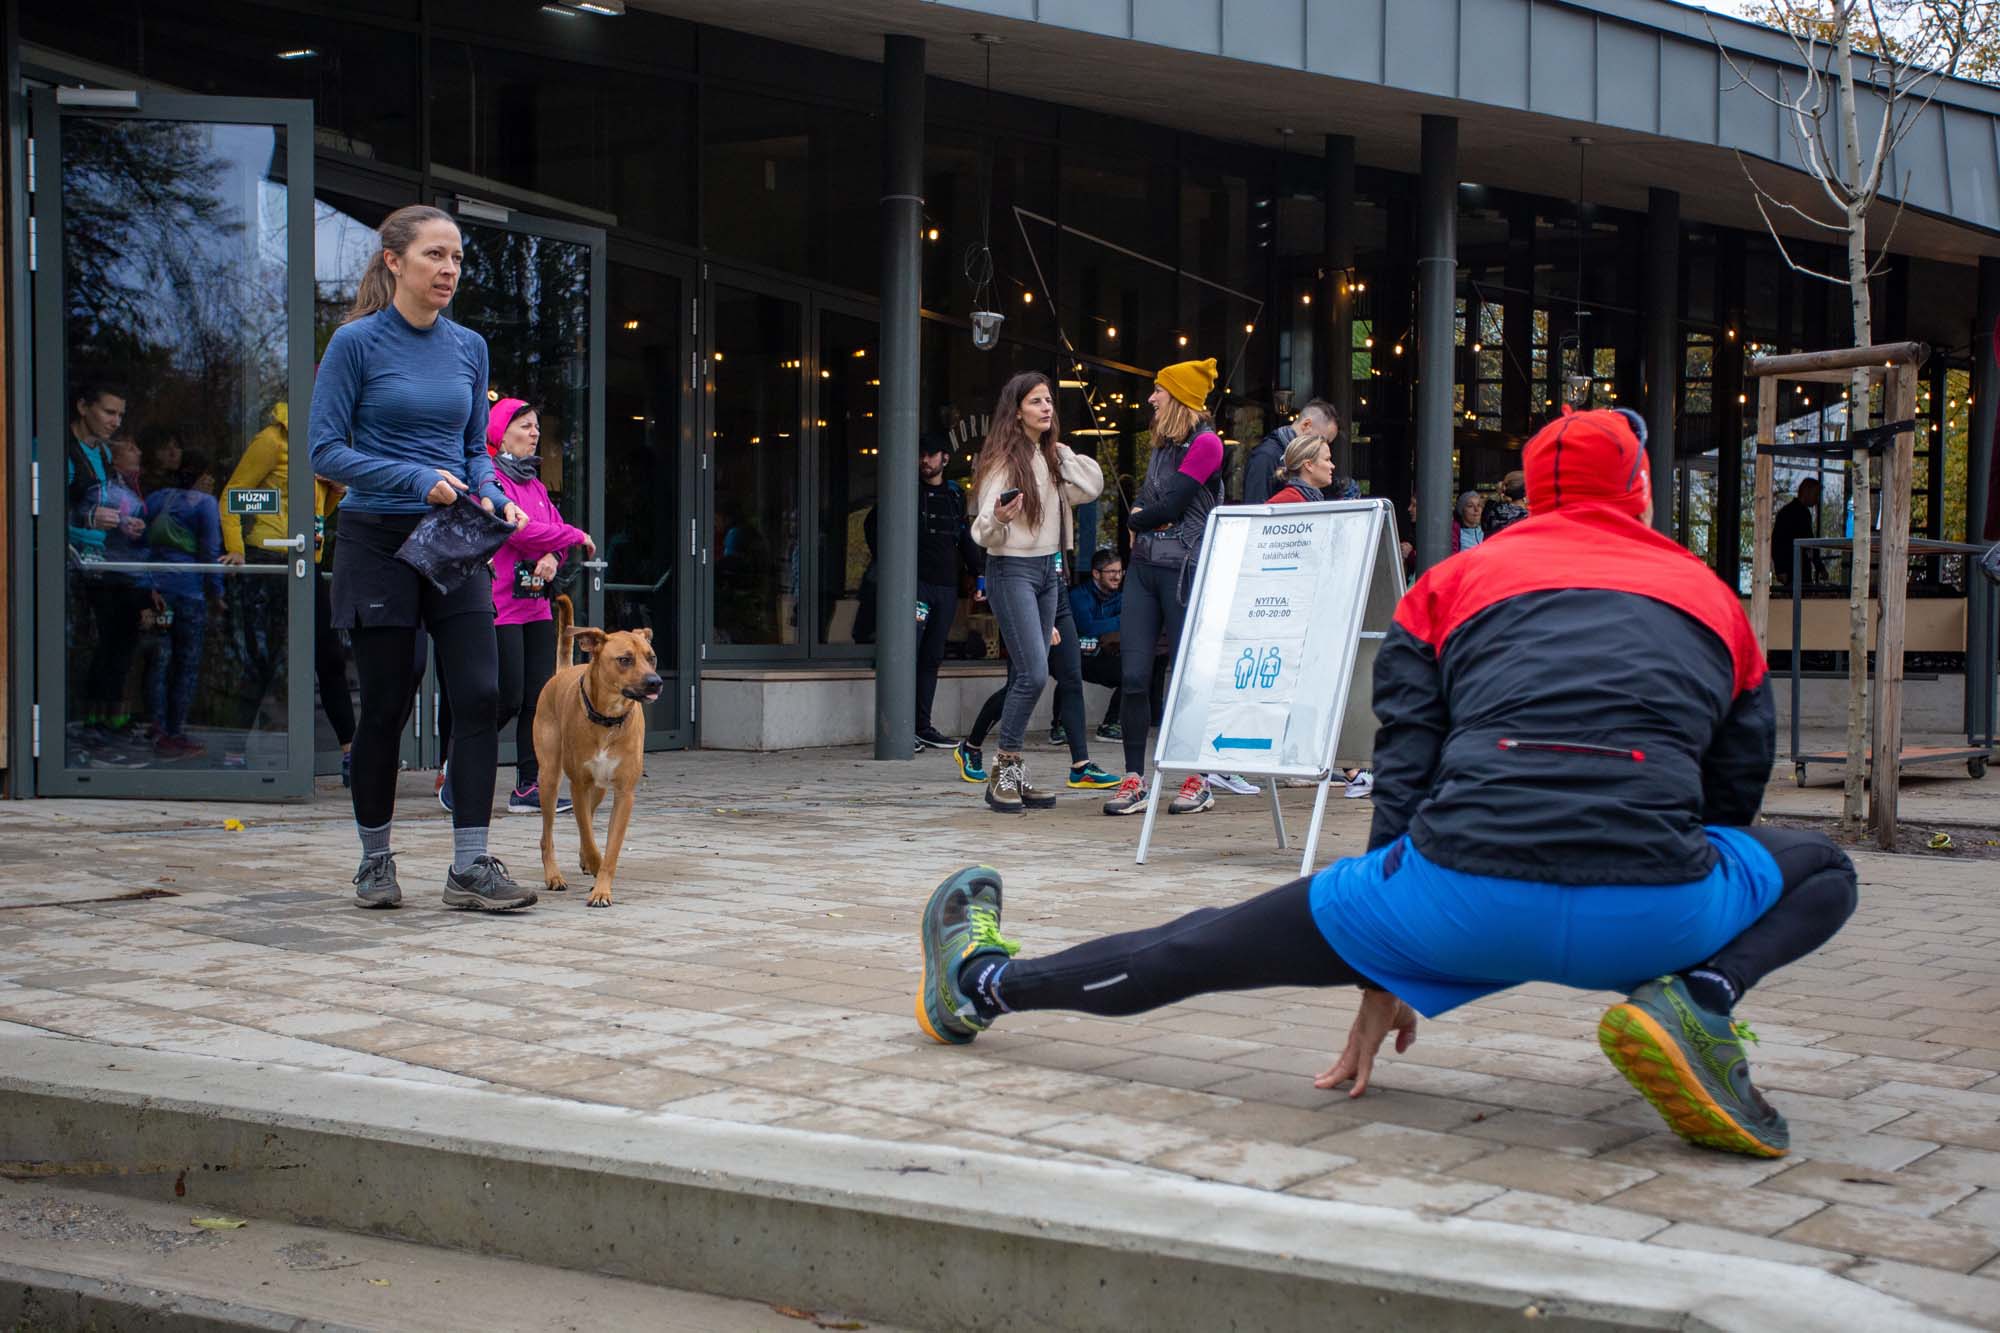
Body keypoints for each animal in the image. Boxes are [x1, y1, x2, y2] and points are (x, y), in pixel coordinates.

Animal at [532, 592, 664, 904]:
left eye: (651, 657)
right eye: (625, 659)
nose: (656, 682)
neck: (609, 719)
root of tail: (563, 672)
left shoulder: (624, 793)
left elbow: (610, 847)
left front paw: (602, 887)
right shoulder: (578, 785)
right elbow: (588, 836)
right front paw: (593, 862)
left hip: (601, 786)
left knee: (589, 817)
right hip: (549, 778)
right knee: (548, 835)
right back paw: (554, 875)